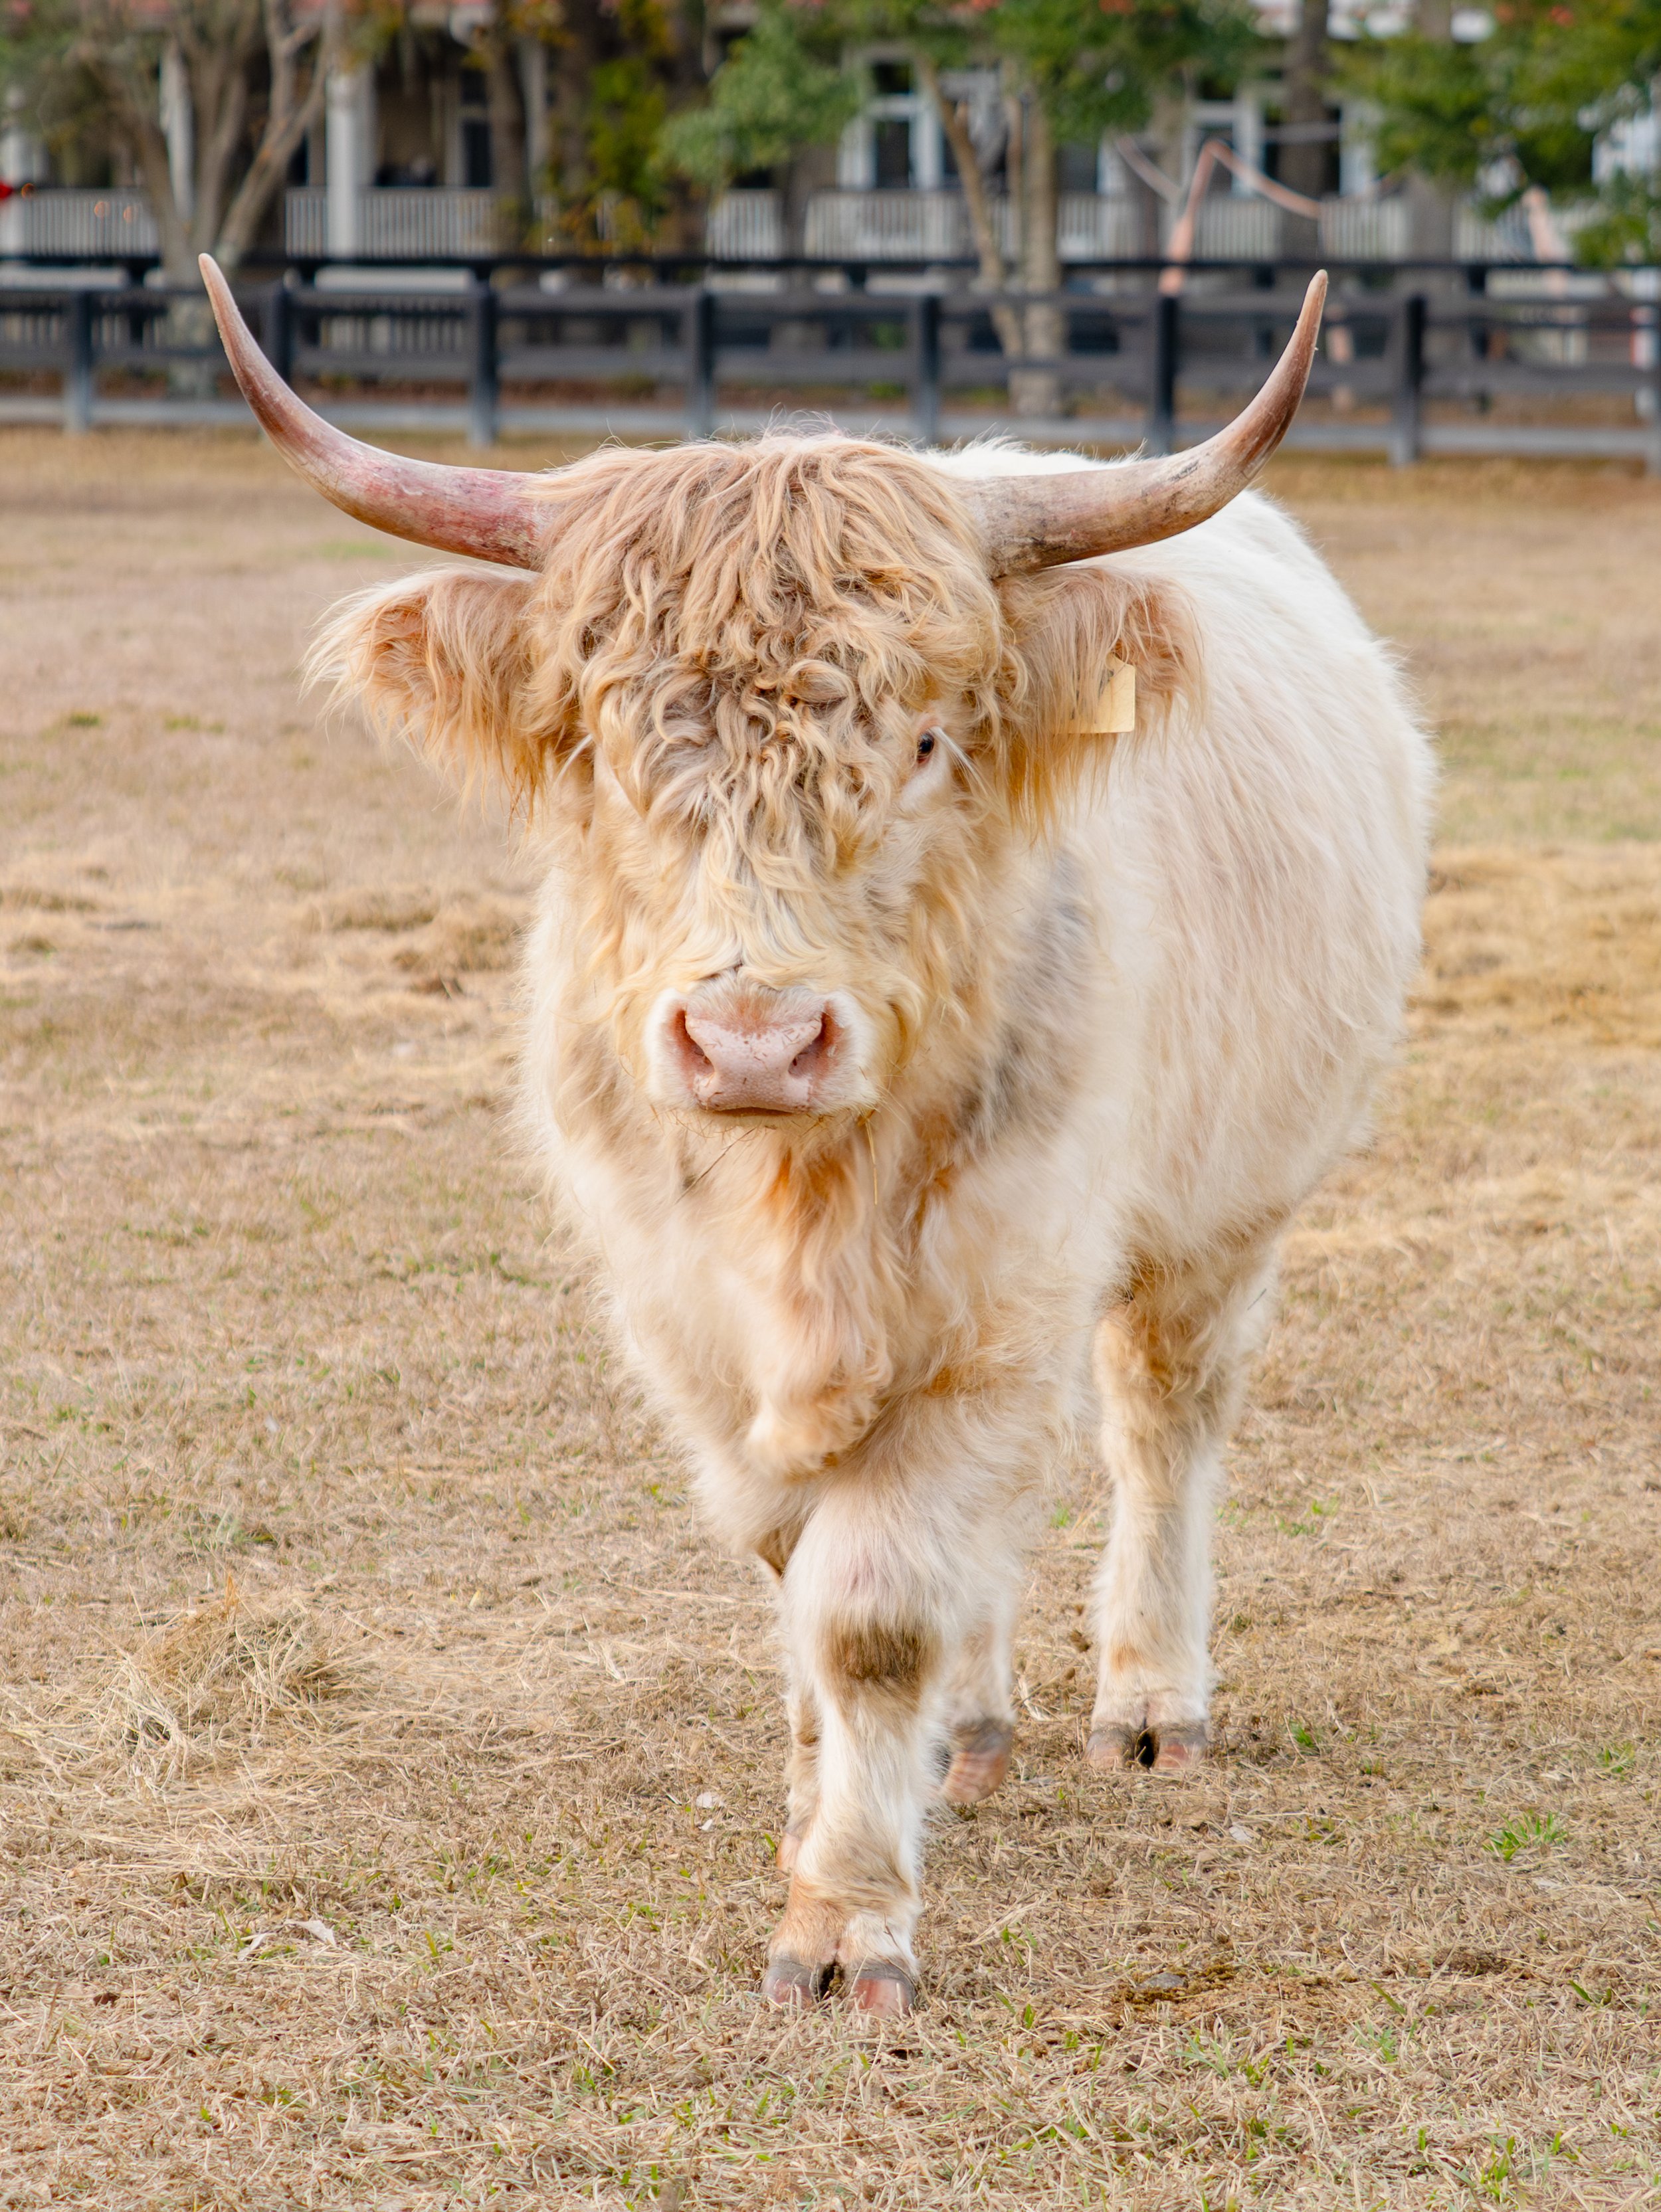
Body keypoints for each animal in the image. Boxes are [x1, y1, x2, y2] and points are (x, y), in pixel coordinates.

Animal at [202, 257, 1432, 2018]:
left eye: (922, 741)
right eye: (607, 745)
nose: (754, 1040)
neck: (801, 1200)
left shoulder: (1004, 1284)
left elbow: (871, 1613)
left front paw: (846, 1918)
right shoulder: (685, 1317)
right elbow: (802, 1574)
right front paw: (825, 1793)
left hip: (1220, 1215)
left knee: (1157, 1427)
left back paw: (1149, 1701)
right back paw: (969, 1735)